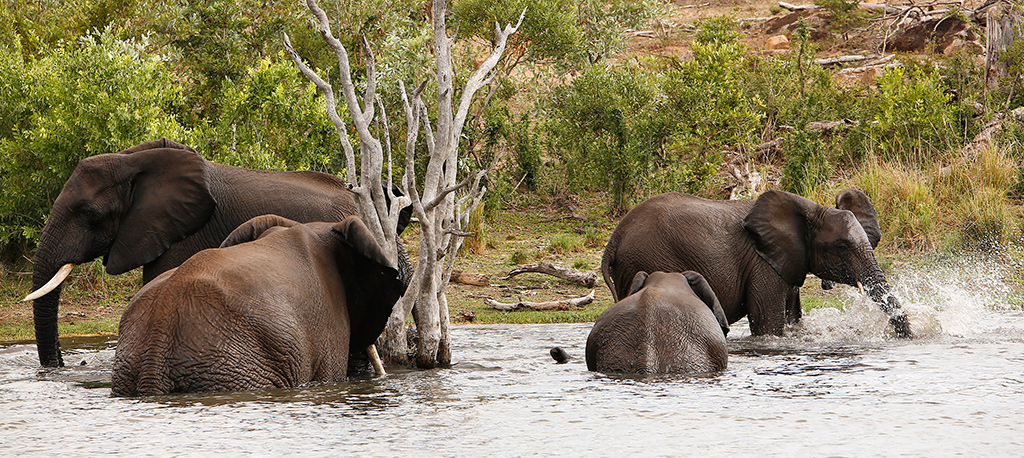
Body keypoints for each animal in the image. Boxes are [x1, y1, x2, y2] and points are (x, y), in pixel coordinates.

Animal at [600, 189, 910, 338]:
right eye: (842, 248)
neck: (810, 210)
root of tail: (614, 238)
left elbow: (792, 317)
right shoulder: (762, 265)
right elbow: (767, 324)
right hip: (647, 257)